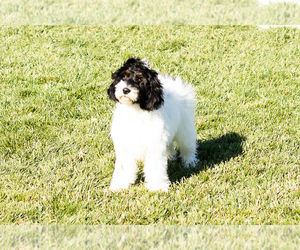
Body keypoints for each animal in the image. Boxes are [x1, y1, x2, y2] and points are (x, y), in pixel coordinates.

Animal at [107, 58, 197, 191]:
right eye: (124, 76)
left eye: (140, 79)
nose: (125, 90)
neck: (134, 110)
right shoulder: (124, 145)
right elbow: (122, 167)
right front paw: (119, 185)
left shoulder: (154, 145)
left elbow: (155, 167)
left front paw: (157, 187)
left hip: (185, 129)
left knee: (188, 146)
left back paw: (190, 162)